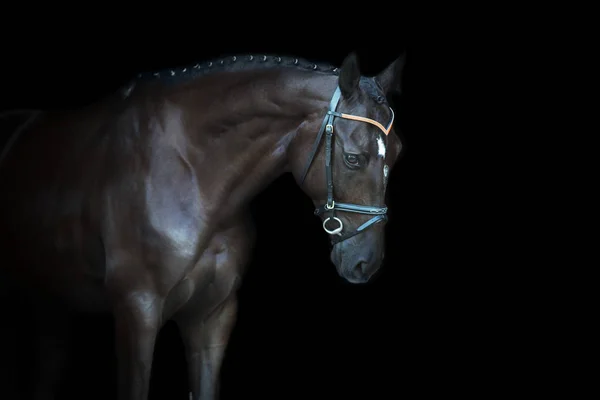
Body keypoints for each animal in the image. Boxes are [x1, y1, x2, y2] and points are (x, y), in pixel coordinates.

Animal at [0, 50, 406, 400]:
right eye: (353, 158)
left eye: (397, 153)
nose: (366, 262)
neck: (192, 173)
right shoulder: (136, 311)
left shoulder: (212, 316)